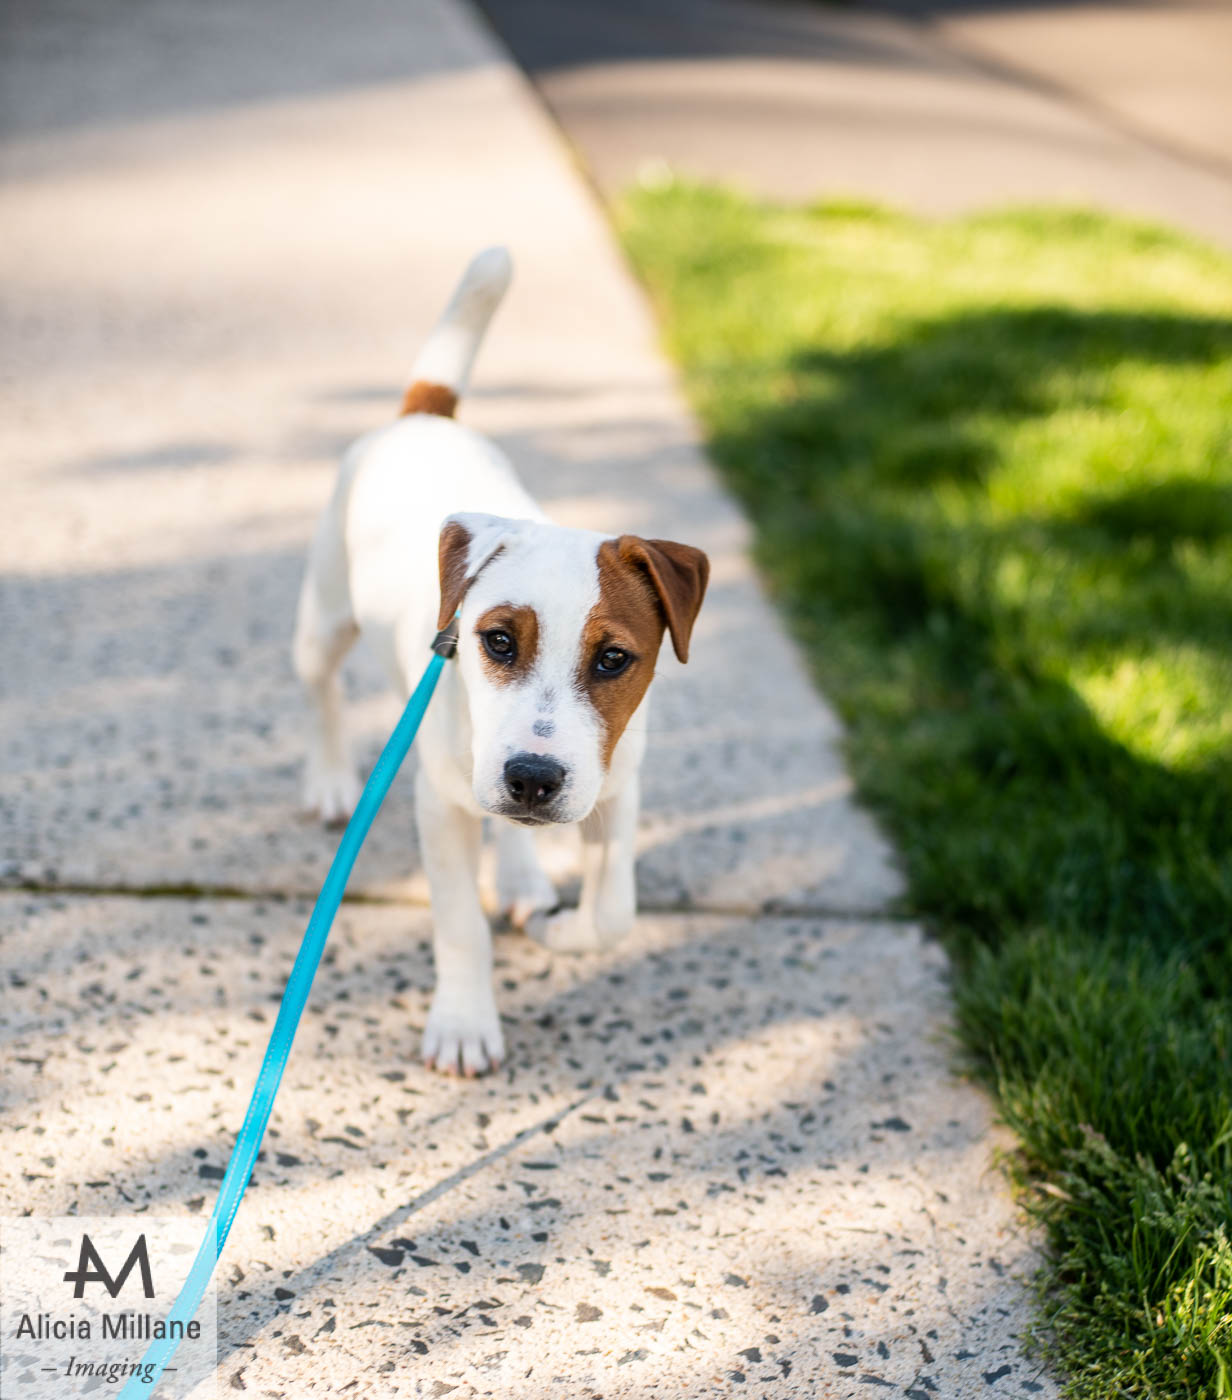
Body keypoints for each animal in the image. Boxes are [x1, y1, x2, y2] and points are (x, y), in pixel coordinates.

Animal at [292, 248, 709, 1076]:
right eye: (498, 642)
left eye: (615, 658)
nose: (533, 778)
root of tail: (423, 415)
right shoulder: (439, 805)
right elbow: (459, 926)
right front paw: (462, 1022)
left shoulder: (615, 788)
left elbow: (614, 913)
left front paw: (561, 926)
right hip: (323, 617)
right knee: (320, 687)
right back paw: (329, 781)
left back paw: (522, 875)